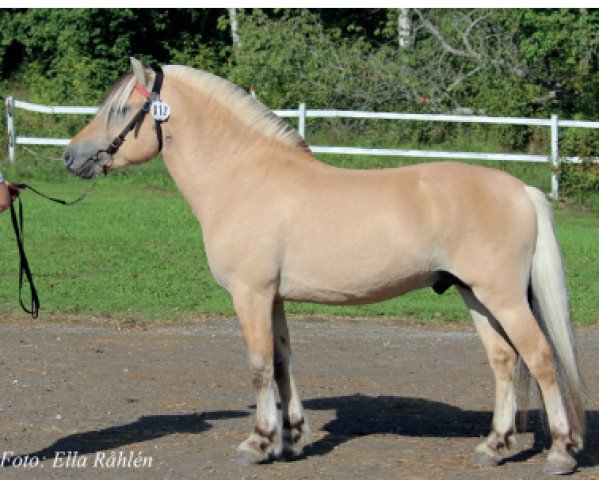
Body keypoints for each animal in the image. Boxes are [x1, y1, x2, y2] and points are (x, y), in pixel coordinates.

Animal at [64, 58, 584, 474]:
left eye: (119, 110)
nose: (71, 156)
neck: (241, 176)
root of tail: (522, 190)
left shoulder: (250, 294)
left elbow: (258, 366)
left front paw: (258, 443)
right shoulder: (273, 298)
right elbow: (282, 364)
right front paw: (292, 439)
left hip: (504, 298)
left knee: (540, 359)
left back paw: (560, 452)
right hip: (474, 295)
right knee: (504, 362)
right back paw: (493, 447)